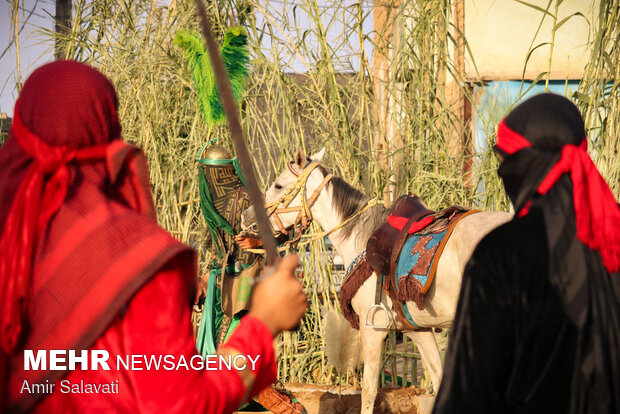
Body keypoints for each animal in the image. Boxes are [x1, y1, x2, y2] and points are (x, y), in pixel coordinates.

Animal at [240, 148, 512, 410]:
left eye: (278, 185)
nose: (246, 216)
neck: (362, 237)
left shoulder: (372, 329)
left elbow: (369, 390)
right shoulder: (418, 330)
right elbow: (437, 379)